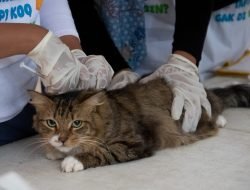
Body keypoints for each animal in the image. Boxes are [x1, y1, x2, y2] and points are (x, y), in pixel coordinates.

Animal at [28, 78, 250, 173]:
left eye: (77, 123)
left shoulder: (135, 143)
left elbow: (103, 151)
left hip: (199, 106)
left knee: (215, 104)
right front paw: (55, 149)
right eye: (51, 122)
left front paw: (73, 160)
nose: (62, 139)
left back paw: (218, 120)